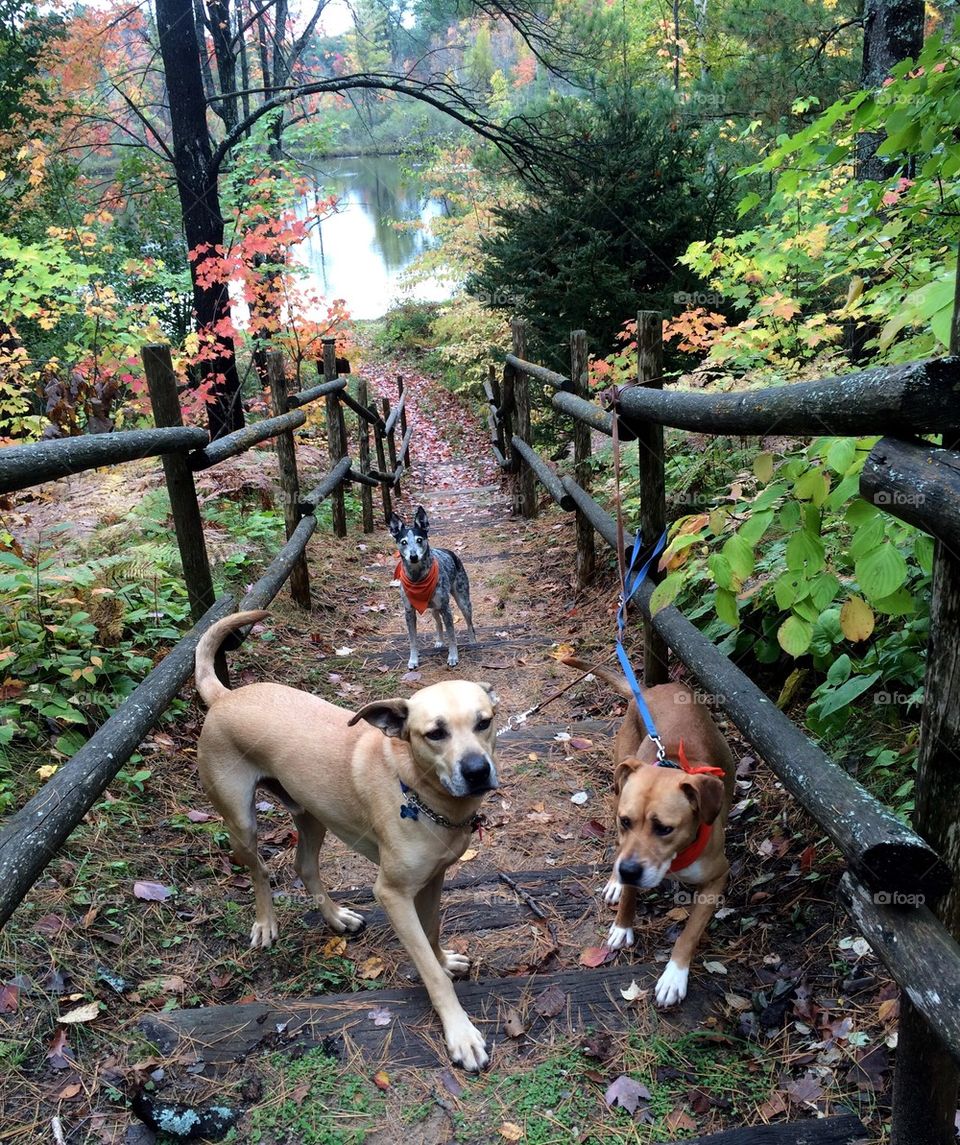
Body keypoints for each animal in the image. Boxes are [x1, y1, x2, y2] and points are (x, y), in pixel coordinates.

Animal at [191, 613, 499, 1067]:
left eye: (484, 721)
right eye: (435, 733)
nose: (477, 771)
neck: (417, 788)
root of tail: (225, 697)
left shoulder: (433, 879)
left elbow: (432, 932)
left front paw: (444, 959)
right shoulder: (392, 893)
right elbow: (427, 967)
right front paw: (459, 1031)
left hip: (312, 814)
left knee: (304, 865)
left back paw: (336, 917)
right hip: (241, 821)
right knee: (260, 871)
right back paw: (266, 923)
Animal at [389, 508, 478, 668]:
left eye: (419, 539)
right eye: (403, 542)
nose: (413, 556)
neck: (417, 577)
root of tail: (451, 553)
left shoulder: (446, 608)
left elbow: (452, 636)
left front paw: (453, 657)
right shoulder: (409, 612)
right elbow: (413, 640)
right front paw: (413, 660)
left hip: (463, 601)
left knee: (469, 624)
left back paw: (473, 642)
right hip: (433, 608)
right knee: (438, 622)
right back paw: (439, 641)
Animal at [563, 659, 737, 1007]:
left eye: (665, 829)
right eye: (625, 822)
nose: (628, 871)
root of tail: (647, 690)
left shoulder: (717, 877)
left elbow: (690, 933)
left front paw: (674, 975)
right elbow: (631, 892)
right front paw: (623, 923)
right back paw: (615, 883)